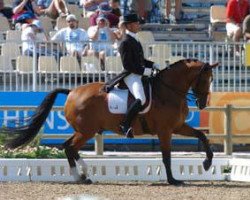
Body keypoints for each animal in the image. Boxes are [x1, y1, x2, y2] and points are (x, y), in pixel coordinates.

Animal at [3, 59, 219, 184]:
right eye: (205, 79)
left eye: (211, 79)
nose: (202, 104)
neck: (169, 91)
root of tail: (72, 91)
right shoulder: (165, 130)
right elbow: (167, 156)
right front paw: (173, 180)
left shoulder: (178, 126)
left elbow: (202, 135)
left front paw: (207, 163)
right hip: (86, 131)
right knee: (70, 147)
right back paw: (80, 176)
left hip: (84, 130)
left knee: (68, 146)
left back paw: (83, 175)